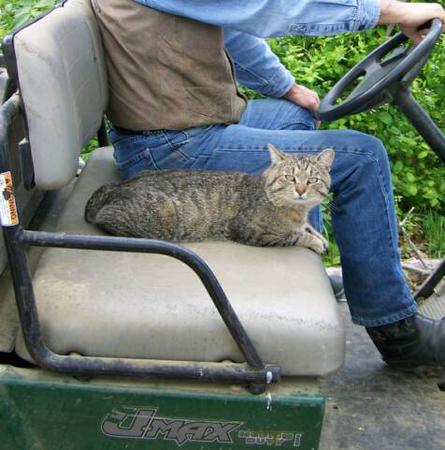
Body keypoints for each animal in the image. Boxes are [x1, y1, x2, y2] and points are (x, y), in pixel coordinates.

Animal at [85, 146, 332, 255]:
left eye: (312, 180)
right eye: (289, 177)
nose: (300, 190)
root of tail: (113, 187)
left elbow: (307, 228)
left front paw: (317, 235)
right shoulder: (251, 232)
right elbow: (294, 236)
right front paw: (314, 241)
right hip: (160, 217)